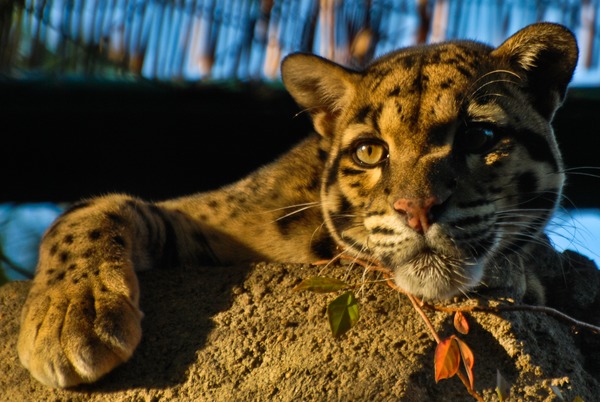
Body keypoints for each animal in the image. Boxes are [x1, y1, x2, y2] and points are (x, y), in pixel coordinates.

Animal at [18, 22, 580, 386]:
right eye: (369, 151)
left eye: (479, 136)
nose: (416, 209)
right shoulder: (218, 219)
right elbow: (96, 210)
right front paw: (71, 318)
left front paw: (521, 271)